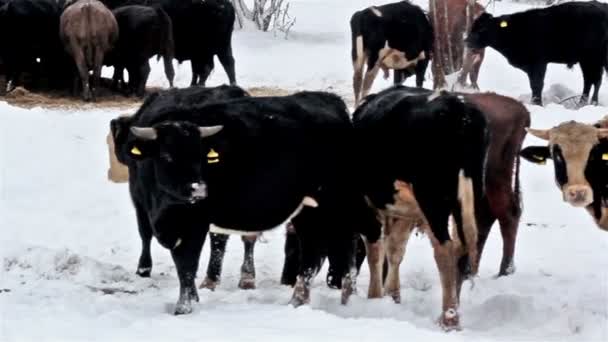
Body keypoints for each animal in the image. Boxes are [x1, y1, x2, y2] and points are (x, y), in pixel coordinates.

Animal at [103, 0, 236, 87]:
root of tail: (227, 5)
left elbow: (123, 69)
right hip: (217, 48)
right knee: (226, 63)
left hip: (210, 49)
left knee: (211, 67)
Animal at [110, 86, 380, 316]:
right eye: (167, 156)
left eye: (200, 156)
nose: (199, 190)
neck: (167, 207)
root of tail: (330, 101)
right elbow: (179, 261)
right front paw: (192, 298)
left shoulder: (194, 223)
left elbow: (187, 264)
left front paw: (184, 307)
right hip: (311, 209)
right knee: (321, 249)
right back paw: (312, 300)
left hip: (335, 202)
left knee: (339, 245)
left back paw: (330, 299)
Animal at [352, 87, 490, 330]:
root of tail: (460, 110)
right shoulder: (405, 211)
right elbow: (395, 249)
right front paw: (392, 295)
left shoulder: (369, 205)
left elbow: (375, 251)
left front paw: (375, 296)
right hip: (472, 195)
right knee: (463, 247)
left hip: (432, 199)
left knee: (445, 249)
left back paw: (449, 318)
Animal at [468, 1, 608, 105]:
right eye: (472, 27)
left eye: (483, 28)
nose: (467, 41)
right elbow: (534, 85)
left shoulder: (538, 63)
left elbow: (537, 84)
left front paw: (537, 103)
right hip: (588, 61)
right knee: (590, 80)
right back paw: (582, 103)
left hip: (593, 59)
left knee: (595, 80)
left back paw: (591, 103)